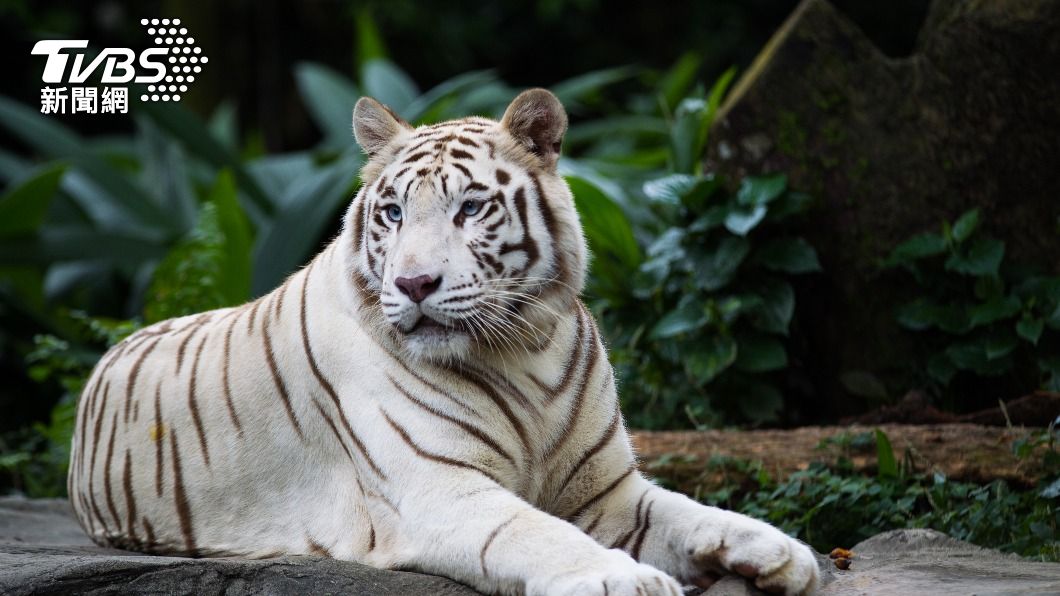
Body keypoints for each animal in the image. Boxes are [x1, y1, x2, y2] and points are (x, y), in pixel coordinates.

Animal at [68, 88, 818, 593]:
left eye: (471, 207)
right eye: (394, 212)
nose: (414, 282)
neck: (525, 348)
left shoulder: (606, 492)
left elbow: (688, 511)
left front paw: (782, 551)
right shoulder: (440, 490)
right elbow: (536, 532)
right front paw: (623, 579)